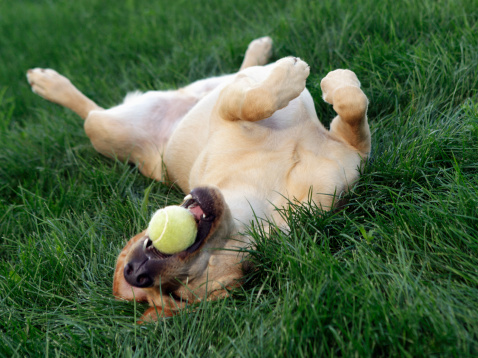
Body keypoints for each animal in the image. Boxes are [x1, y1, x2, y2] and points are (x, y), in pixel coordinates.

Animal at [26, 36, 372, 322]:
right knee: (88, 111)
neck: (263, 199)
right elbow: (255, 102)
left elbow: (350, 106)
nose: (136, 273)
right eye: (177, 291)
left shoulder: (348, 153)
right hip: (102, 128)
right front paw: (301, 77)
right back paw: (48, 84)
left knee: (235, 74)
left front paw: (334, 82)